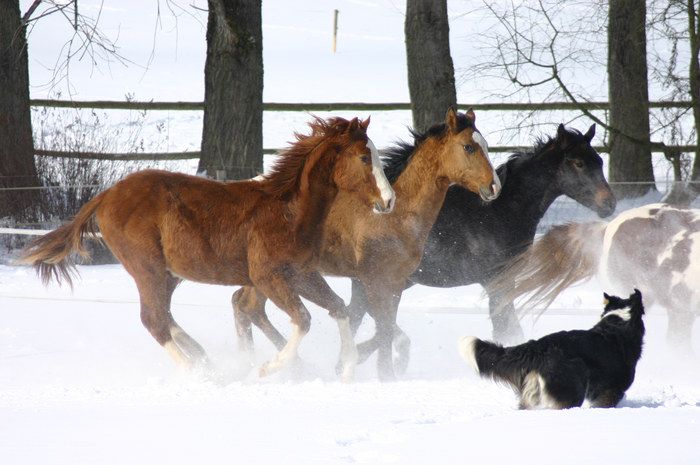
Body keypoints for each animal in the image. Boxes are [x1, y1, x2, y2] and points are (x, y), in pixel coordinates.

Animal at [19, 116, 396, 380]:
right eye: (364, 158)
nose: (389, 201)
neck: (289, 211)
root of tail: (107, 194)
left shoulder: (302, 274)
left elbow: (339, 309)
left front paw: (347, 371)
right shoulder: (269, 276)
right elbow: (302, 320)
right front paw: (269, 367)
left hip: (170, 274)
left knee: (165, 315)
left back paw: (206, 360)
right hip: (147, 268)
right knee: (153, 319)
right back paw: (199, 374)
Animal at [232, 107, 500, 378]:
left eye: (486, 145)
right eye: (468, 147)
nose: (494, 186)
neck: (393, 216)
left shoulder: (394, 281)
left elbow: (383, 325)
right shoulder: (372, 280)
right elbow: (381, 327)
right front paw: (378, 371)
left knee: (243, 305)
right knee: (249, 307)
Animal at [348, 123, 616, 374]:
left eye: (600, 161)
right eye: (578, 163)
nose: (609, 203)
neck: (499, 211)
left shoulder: (507, 281)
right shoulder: (495, 282)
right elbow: (505, 330)